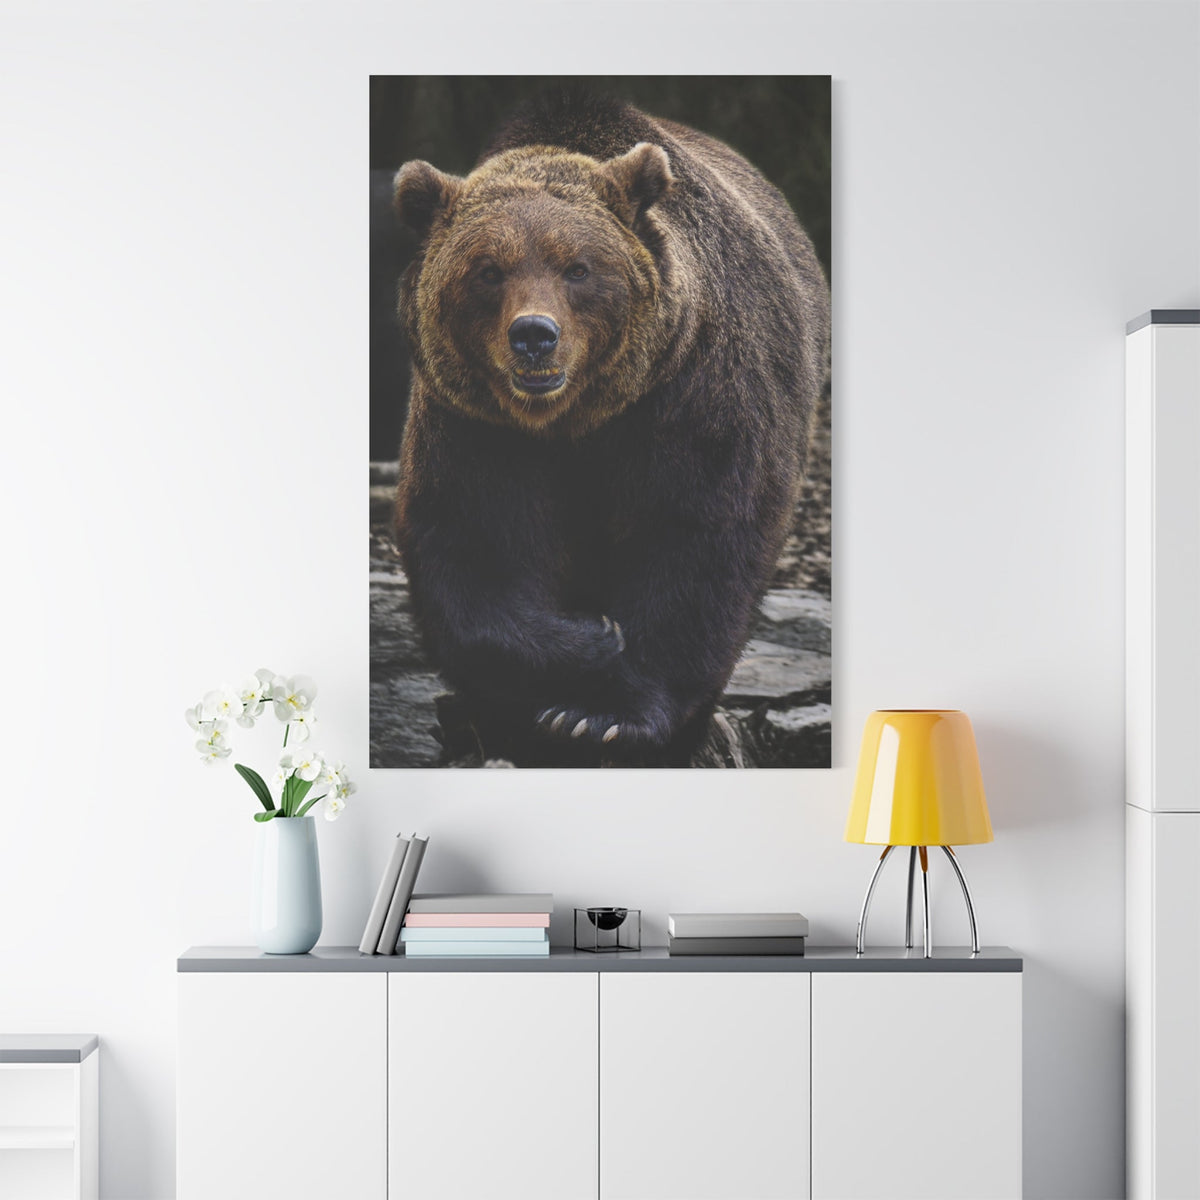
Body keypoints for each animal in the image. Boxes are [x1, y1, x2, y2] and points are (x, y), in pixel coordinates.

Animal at [392, 92, 830, 766]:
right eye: (487, 270)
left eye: (578, 268)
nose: (534, 335)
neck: (576, 418)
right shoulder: (474, 422)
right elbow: (475, 538)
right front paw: (585, 644)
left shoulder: (693, 396)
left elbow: (697, 535)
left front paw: (602, 716)